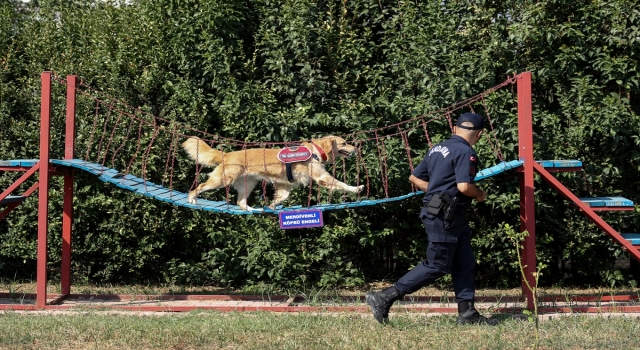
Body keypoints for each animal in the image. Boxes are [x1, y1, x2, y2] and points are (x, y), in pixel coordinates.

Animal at [184, 135, 364, 209]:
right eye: (344, 143)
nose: (356, 148)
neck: (315, 151)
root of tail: (227, 154)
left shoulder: (285, 184)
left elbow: (282, 197)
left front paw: (272, 205)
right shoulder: (322, 178)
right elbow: (342, 184)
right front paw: (356, 188)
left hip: (249, 184)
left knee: (240, 202)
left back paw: (253, 210)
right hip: (222, 180)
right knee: (198, 187)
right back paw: (192, 199)